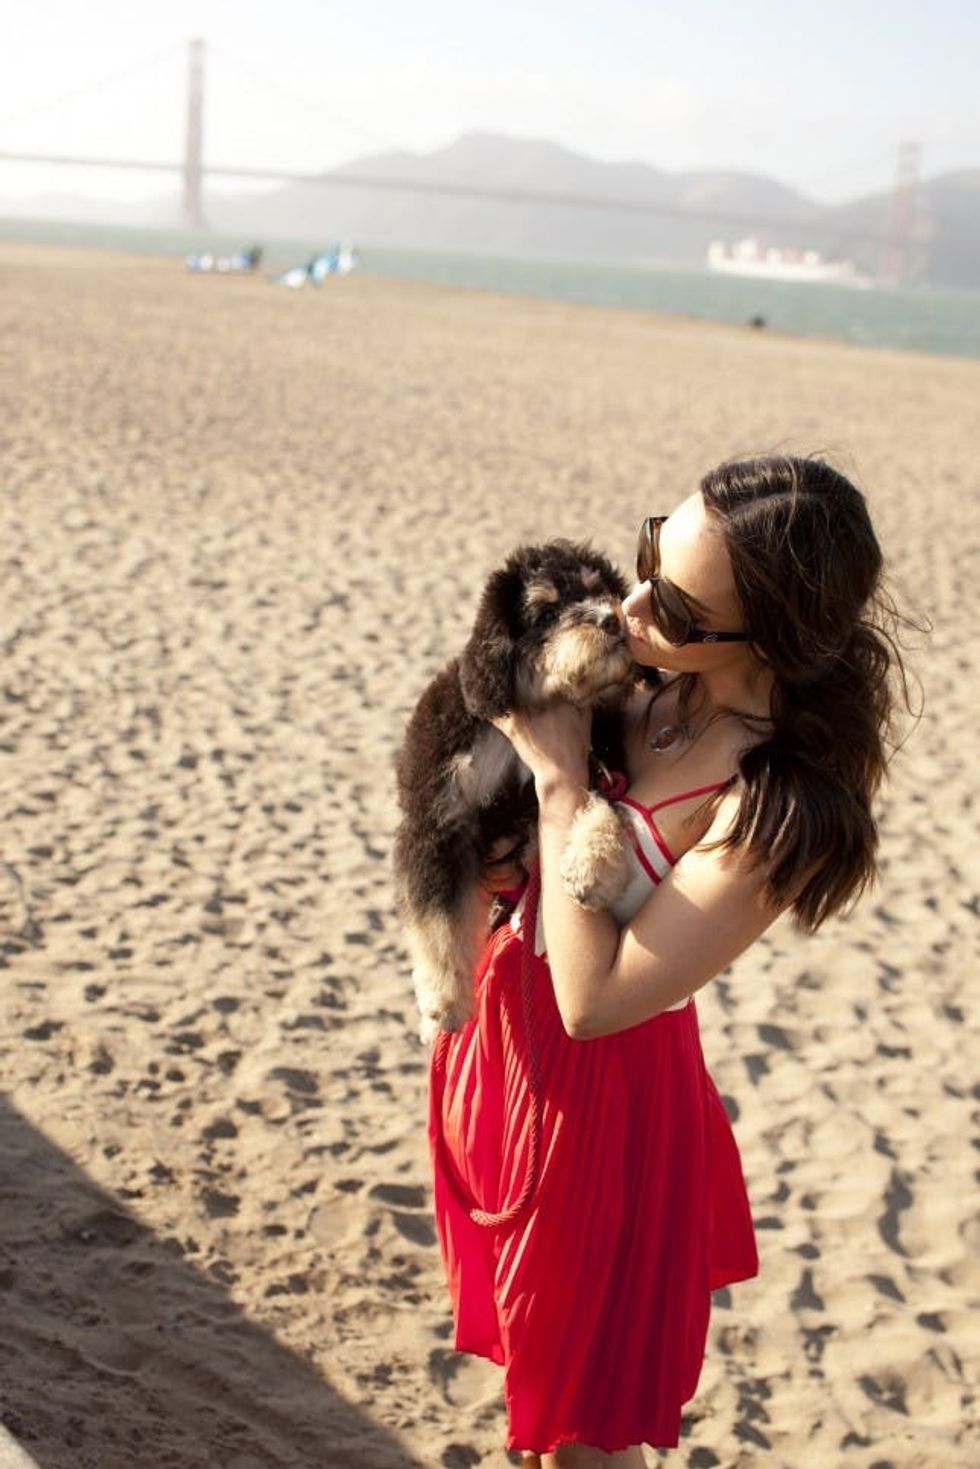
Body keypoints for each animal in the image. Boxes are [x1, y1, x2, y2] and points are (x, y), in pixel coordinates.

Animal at [394, 539, 637, 1042]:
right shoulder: (436, 823)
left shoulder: (602, 766)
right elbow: (439, 923)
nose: (611, 619)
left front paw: (593, 866)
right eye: (546, 611)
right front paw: (443, 1004)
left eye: (599, 589)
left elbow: (604, 807)